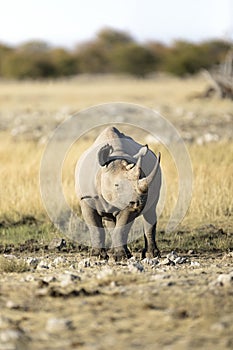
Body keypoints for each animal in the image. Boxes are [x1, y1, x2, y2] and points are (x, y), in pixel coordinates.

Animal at [75, 126, 161, 260]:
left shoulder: (127, 204)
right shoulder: (86, 199)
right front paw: (96, 256)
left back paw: (150, 255)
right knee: (110, 220)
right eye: (116, 186)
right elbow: (96, 229)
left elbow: (121, 228)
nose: (139, 204)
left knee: (150, 211)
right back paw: (113, 252)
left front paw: (120, 257)